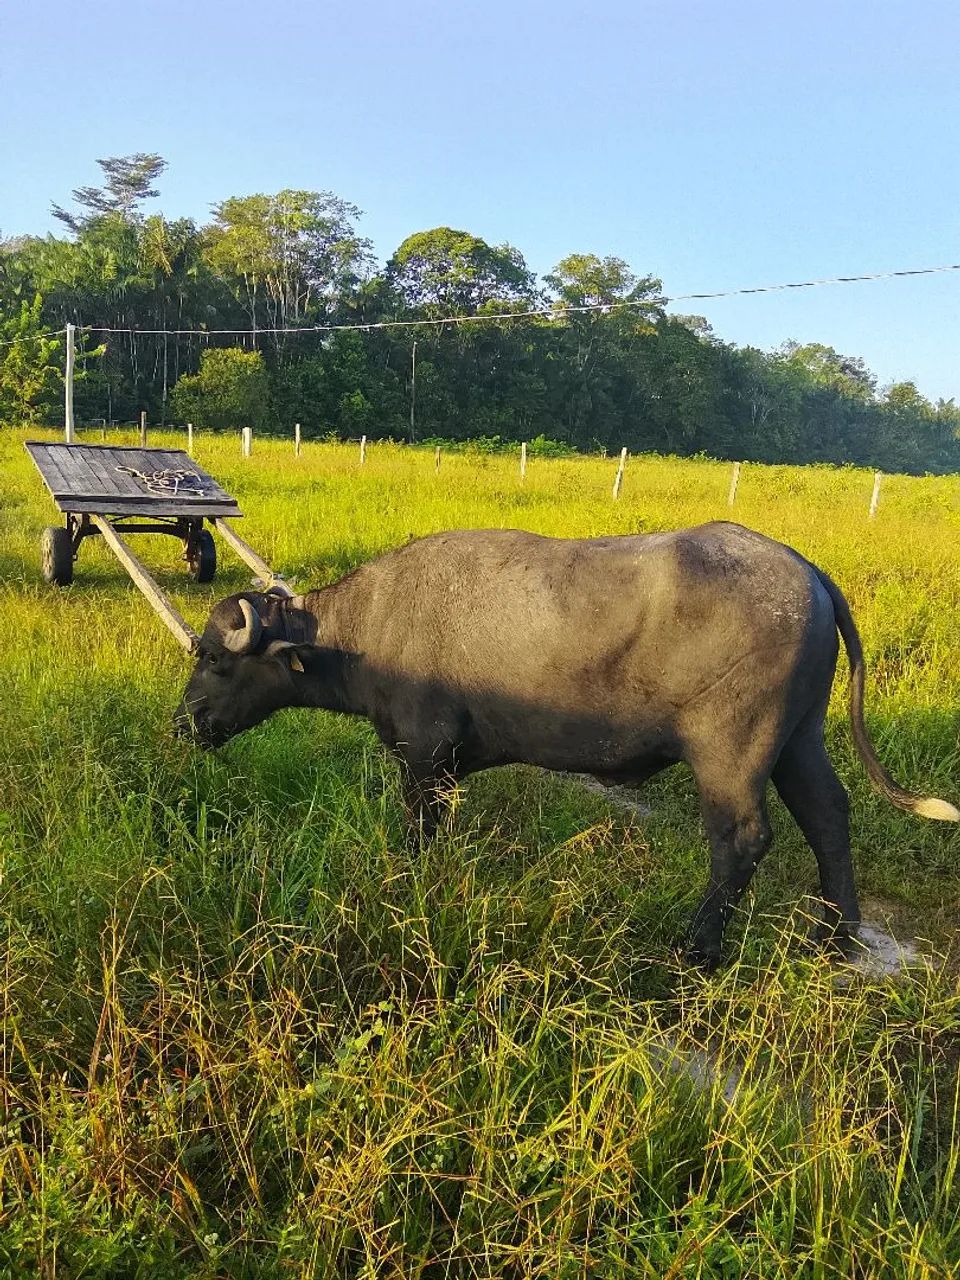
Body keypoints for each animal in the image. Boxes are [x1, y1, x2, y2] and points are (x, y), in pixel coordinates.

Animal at [174, 522, 958, 967]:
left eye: (212, 657)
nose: (185, 724)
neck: (372, 627)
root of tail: (806, 571)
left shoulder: (424, 759)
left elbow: (419, 833)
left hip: (731, 752)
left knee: (743, 838)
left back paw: (698, 949)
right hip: (800, 739)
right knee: (828, 813)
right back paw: (837, 938)